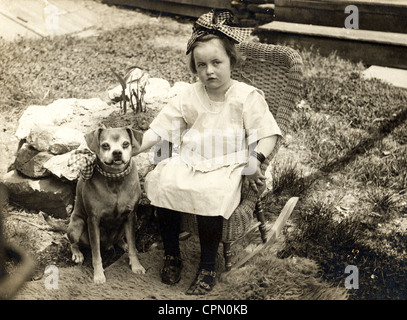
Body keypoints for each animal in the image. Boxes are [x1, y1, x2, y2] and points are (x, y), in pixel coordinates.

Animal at [65, 126, 145, 284]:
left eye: (125, 144)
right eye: (105, 145)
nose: (117, 152)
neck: (115, 178)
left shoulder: (131, 216)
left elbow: (133, 245)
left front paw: (136, 265)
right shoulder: (93, 220)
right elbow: (96, 254)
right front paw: (98, 275)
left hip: (123, 226)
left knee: (122, 239)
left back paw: (124, 245)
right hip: (77, 226)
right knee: (72, 241)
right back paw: (77, 254)